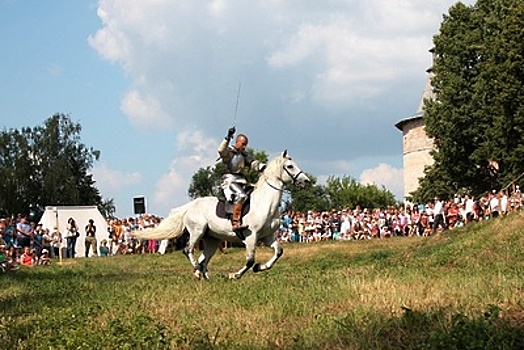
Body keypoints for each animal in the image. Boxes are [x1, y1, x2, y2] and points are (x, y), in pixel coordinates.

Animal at [133, 150, 310, 278]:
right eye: (290, 166)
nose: (306, 181)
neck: (265, 203)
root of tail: (190, 206)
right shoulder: (251, 237)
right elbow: (250, 260)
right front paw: (235, 275)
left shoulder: (267, 237)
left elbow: (278, 252)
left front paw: (260, 267)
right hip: (197, 231)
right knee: (188, 251)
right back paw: (197, 270)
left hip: (212, 240)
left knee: (204, 261)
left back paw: (205, 277)